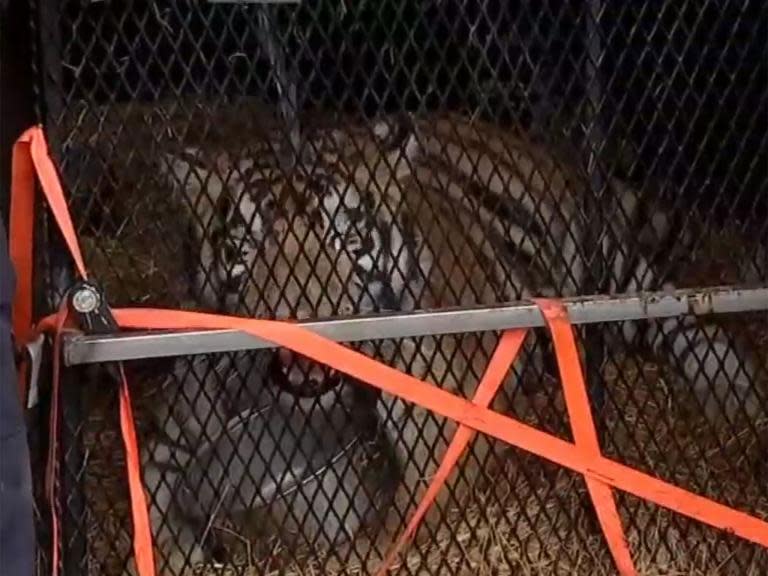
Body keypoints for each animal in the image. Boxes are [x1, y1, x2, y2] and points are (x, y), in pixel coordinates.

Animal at [153, 111, 764, 568]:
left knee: (683, 317)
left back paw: (736, 399)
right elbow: (156, 502)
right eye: (245, 248)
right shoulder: (179, 424)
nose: (303, 328)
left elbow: (376, 540)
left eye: (346, 239)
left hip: (611, 272)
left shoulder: (447, 431)